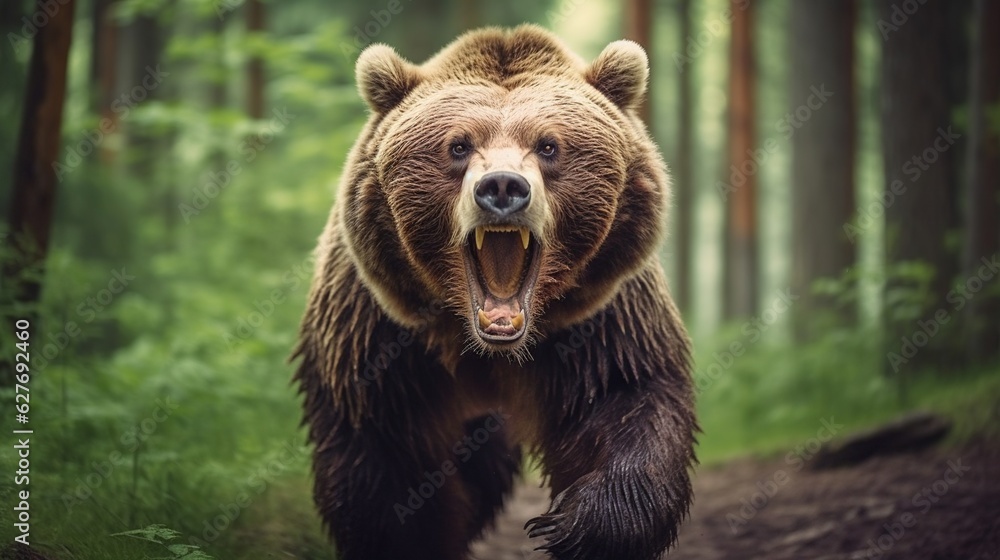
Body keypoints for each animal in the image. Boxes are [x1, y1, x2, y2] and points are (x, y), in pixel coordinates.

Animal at [293, 25, 696, 560]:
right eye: (458, 146)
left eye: (548, 146)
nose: (503, 187)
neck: (487, 347)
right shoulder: (377, 331)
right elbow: (382, 461)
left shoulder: (605, 313)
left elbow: (628, 396)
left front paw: (572, 525)